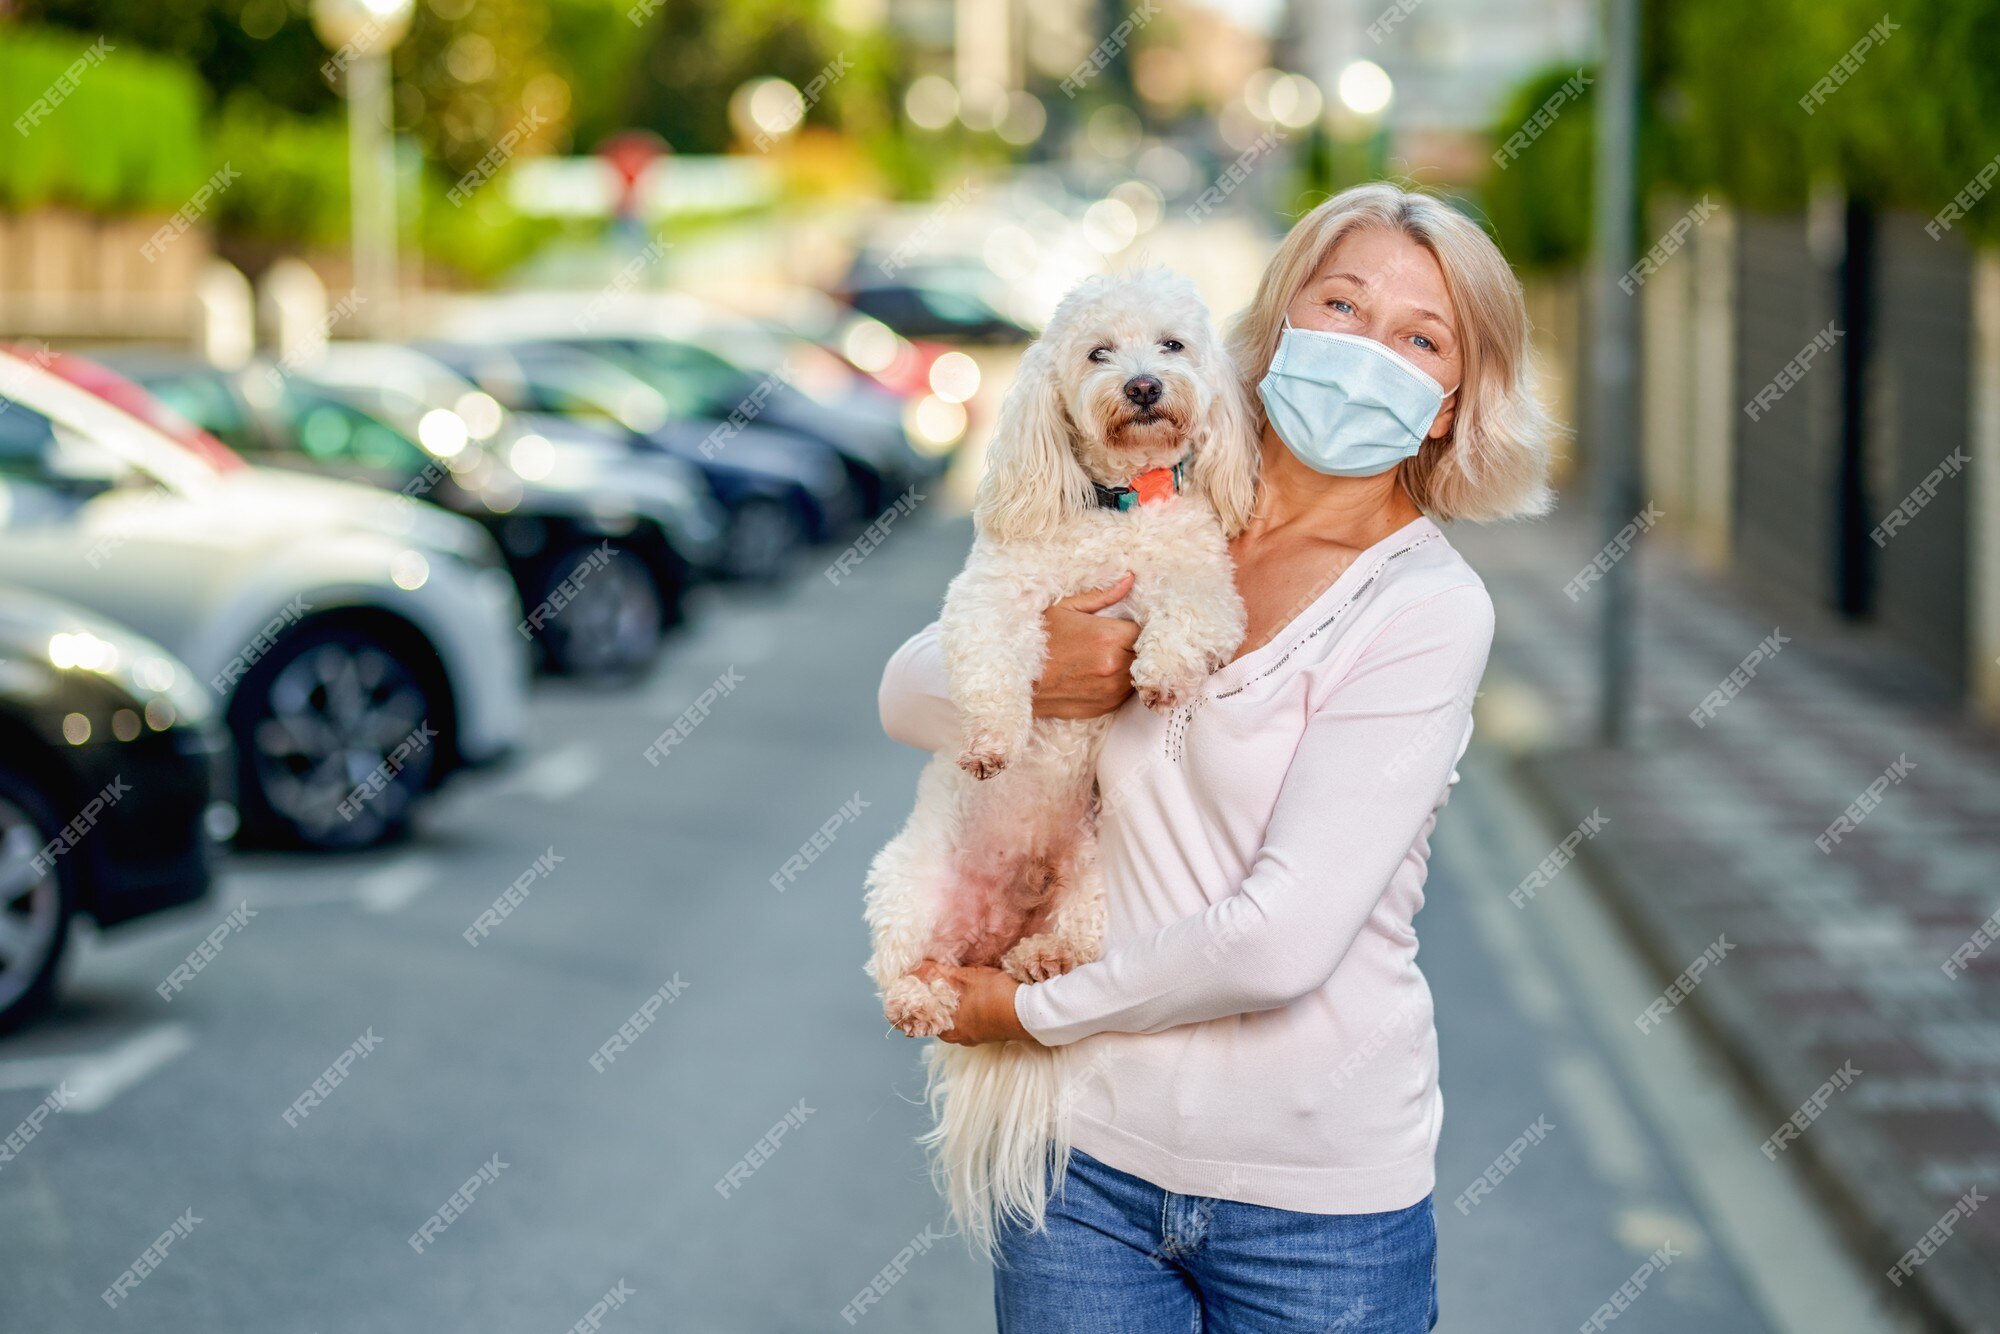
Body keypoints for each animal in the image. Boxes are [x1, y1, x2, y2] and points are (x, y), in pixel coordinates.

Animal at [860, 274, 1248, 1264]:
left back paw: (1041, 957)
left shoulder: (1205, 583)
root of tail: (997, 928)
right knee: (898, 967)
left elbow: (1190, 616)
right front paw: (994, 741)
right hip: (910, 881)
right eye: (1098, 353)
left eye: (1173, 345)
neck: (1118, 510)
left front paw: (1159, 673)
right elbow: (995, 662)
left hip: (1098, 866)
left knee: (1073, 939)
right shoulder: (991, 596)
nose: (1144, 386)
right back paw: (920, 997)